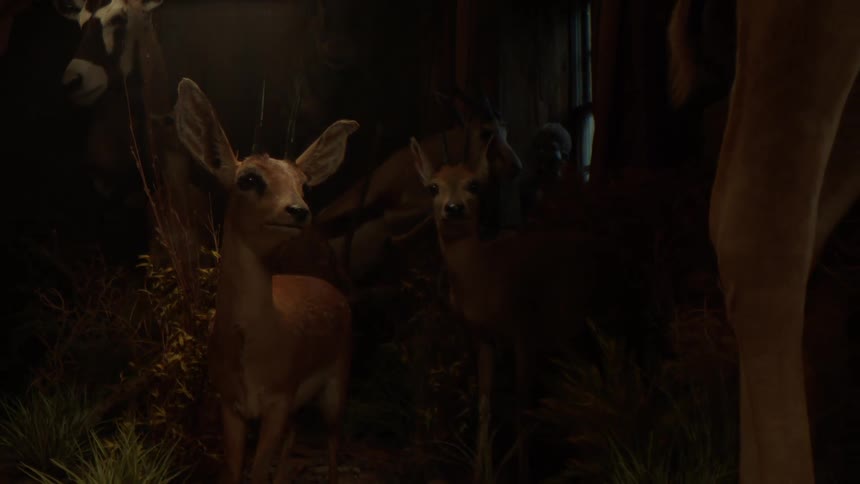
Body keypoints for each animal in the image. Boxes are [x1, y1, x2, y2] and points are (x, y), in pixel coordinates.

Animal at [173, 77, 358, 484]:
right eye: (248, 179)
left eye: (304, 184)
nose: (298, 210)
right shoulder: (231, 404)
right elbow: (234, 471)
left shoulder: (279, 398)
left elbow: (257, 474)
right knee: (295, 439)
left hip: (336, 385)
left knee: (334, 443)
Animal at [410, 128, 591, 484]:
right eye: (432, 187)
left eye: (474, 185)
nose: (453, 208)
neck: (484, 276)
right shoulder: (484, 338)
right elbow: (485, 406)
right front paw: (480, 473)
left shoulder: (524, 333)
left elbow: (523, 406)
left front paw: (522, 473)